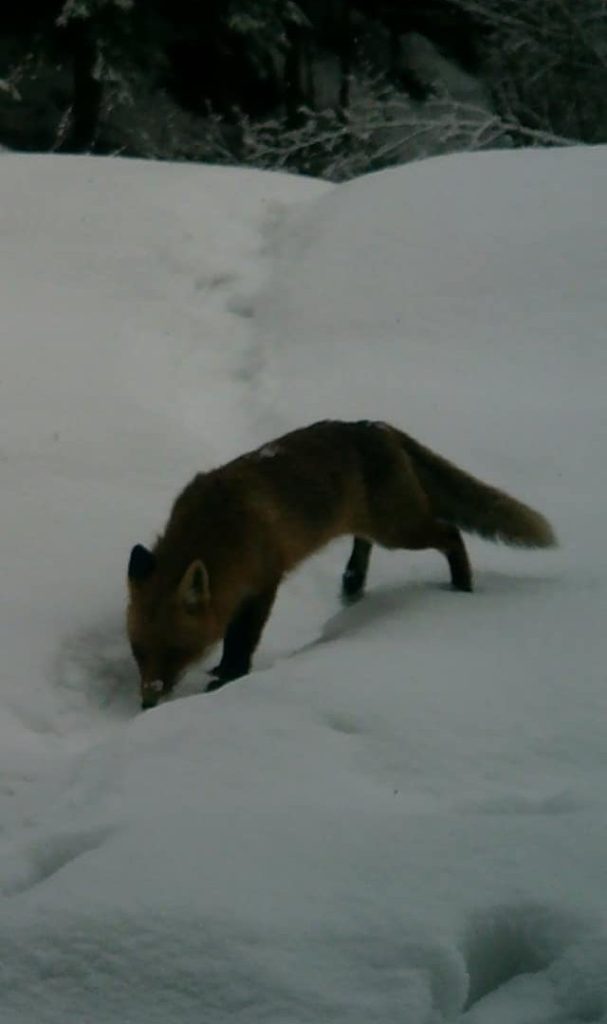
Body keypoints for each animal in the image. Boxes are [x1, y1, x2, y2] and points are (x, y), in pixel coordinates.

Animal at [126, 419, 552, 708]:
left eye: (176, 651)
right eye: (139, 652)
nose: (147, 702)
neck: (219, 528)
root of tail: (376, 424)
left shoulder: (264, 582)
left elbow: (241, 639)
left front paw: (230, 676)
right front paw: (221, 671)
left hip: (400, 530)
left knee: (450, 534)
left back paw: (462, 587)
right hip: (378, 526)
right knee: (366, 543)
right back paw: (353, 581)